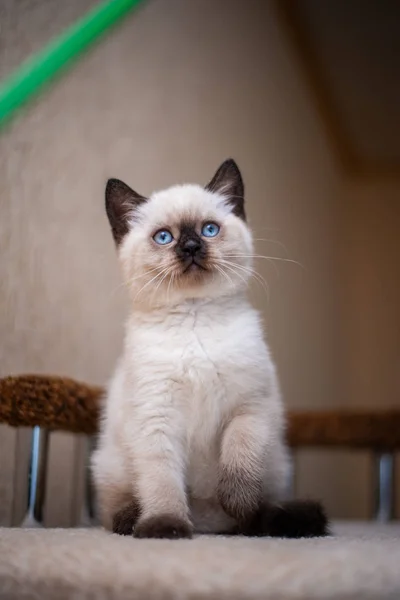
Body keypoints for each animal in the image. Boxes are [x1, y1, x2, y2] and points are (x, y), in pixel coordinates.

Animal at [91, 159, 328, 540]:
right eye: (164, 237)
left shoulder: (248, 407)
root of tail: (207, 523)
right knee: (119, 505)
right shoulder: (156, 419)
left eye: (209, 229)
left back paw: (251, 522)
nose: (190, 246)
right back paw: (134, 522)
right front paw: (165, 527)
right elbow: (162, 483)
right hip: (110, 464)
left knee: (261, 510)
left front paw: (238, 501)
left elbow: (239, 462)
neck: (195, 316)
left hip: (277, 464)